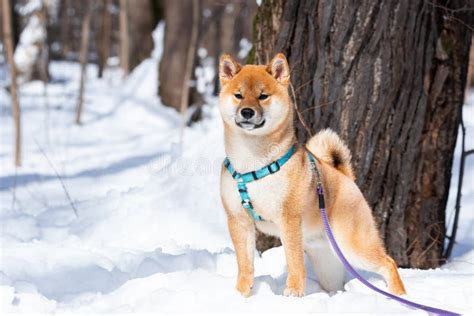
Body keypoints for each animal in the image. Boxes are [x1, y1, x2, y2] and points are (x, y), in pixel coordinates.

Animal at [218, 53, 404, 298]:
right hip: (328, 262)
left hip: (353, 245)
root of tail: (344, 176)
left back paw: (399, 295)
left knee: (389, 262)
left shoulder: (289, 219)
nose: (247, 112)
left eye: (263, 96)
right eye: (238, 95)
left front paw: (293, 293)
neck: (253, 163)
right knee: (337, 282)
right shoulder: (238, 220)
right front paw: (241, 294)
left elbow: (295, 262)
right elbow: (245, 264)